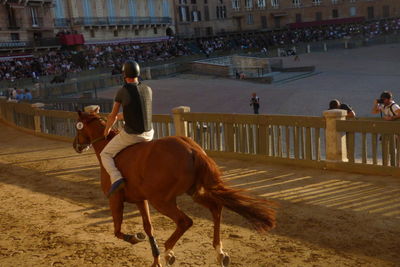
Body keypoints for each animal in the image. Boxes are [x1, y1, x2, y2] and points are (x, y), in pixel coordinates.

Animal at [72, 112, 276, 267]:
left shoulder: (115, 199)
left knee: (185, 221)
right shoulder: (141, 200)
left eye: (77, 127)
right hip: (195, 192)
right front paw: (155, 261)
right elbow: (149, 228)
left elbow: (118, 230)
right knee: (216, 208)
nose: (76, 145)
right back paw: (219, 252)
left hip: (162, 201)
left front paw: (135, 238)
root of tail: (192, 149)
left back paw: (169, 251)